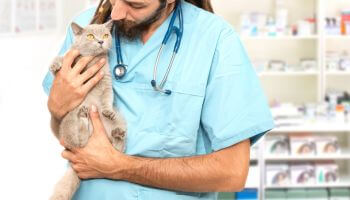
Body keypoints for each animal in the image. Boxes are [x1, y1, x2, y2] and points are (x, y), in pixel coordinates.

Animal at [47, 20, 127, 200]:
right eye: (90, 36)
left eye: (105, 34)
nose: (101, 41)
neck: (92, 60)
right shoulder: (71, 60)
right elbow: (64, 56)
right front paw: (55, 64)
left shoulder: (106, 79)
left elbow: (107, 97)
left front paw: (106, 110)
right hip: (69, 120)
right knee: (78, 142)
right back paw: (84, 117)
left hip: (119, 120)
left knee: (116, 146)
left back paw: (117, 133)